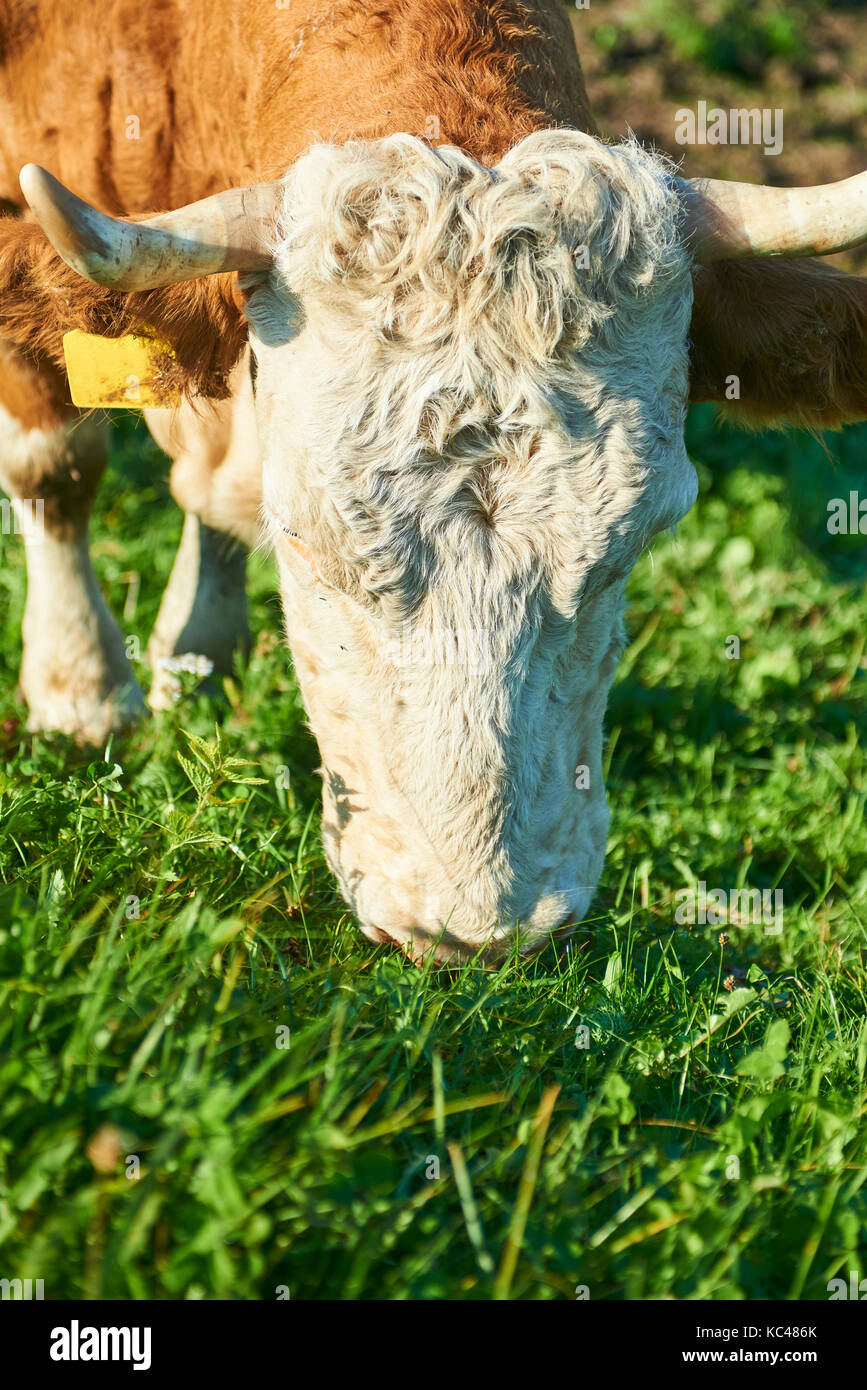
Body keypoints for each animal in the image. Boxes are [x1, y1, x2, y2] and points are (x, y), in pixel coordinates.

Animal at [1, 0, 867, 964]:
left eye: (628, 551)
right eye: (303, 545)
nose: (476, 934)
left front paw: (195, 655)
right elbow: (56, 464)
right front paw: (81, 691)